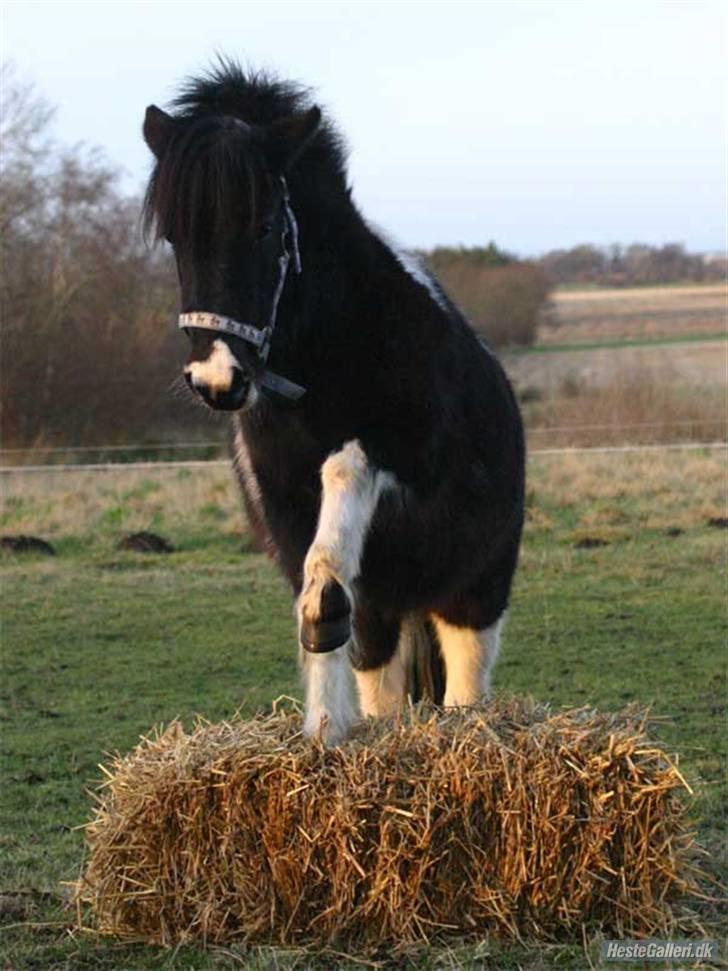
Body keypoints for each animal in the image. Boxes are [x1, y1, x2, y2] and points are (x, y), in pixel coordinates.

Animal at [142, 62, 528, 744]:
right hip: (394, 604)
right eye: (174, 237)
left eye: (266, 227)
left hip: (473, 588)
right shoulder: (285, 510)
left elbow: (331, 555)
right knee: (379, 669)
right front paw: (323, 737)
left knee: (465, 677)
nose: (218, 379)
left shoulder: (393, 470)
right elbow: (320, 602)